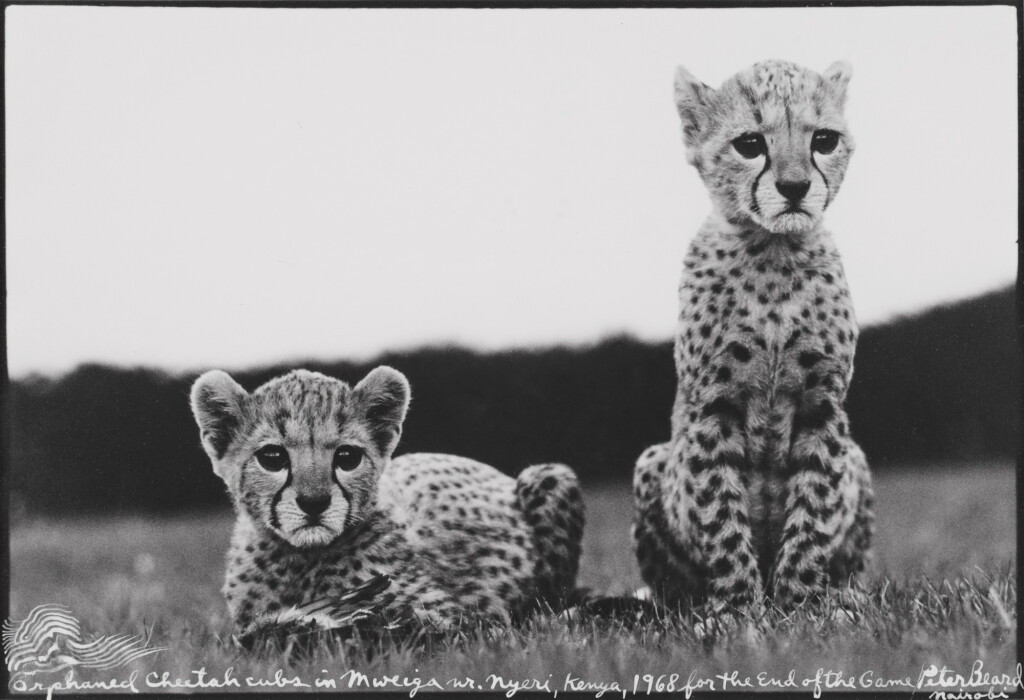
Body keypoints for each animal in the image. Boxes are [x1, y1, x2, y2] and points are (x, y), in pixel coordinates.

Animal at [189, 366, 584, 644]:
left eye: (347, 457)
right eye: (272, 458)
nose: (314, 502)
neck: (302, 559)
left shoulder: (458, 617)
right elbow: (257, 632)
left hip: (550, 475)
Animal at [632, 59, 874, 616]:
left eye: (823, 140)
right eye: (749, 144)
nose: (794, 186)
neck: (773, 251)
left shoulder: (823, 405)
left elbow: (813, 508)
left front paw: (801, 605)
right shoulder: (712, 407)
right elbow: (721, 512)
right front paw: (738, 609)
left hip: (858, 458)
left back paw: (845, 595)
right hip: (652, 460)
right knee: (668, 583)